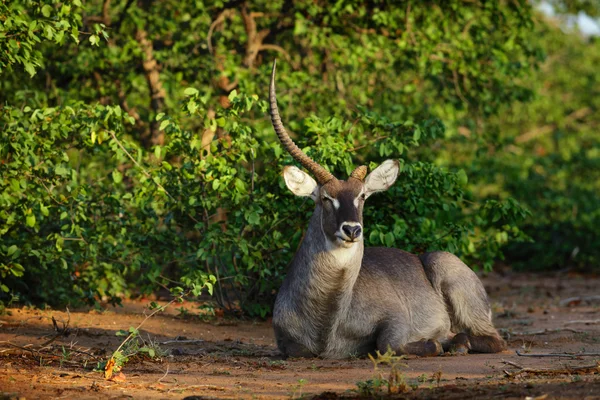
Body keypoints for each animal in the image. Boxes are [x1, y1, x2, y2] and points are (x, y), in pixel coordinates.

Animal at [268, 61, 506, 360]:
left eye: (362, 196)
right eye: (325, 198)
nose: (352, 229)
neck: (327, 319)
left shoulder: (397, 318)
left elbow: (387, 344)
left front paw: (433, 343)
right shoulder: (286, 343)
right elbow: (297, 350)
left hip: (449, 274)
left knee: (492, 340)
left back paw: (456, 343)